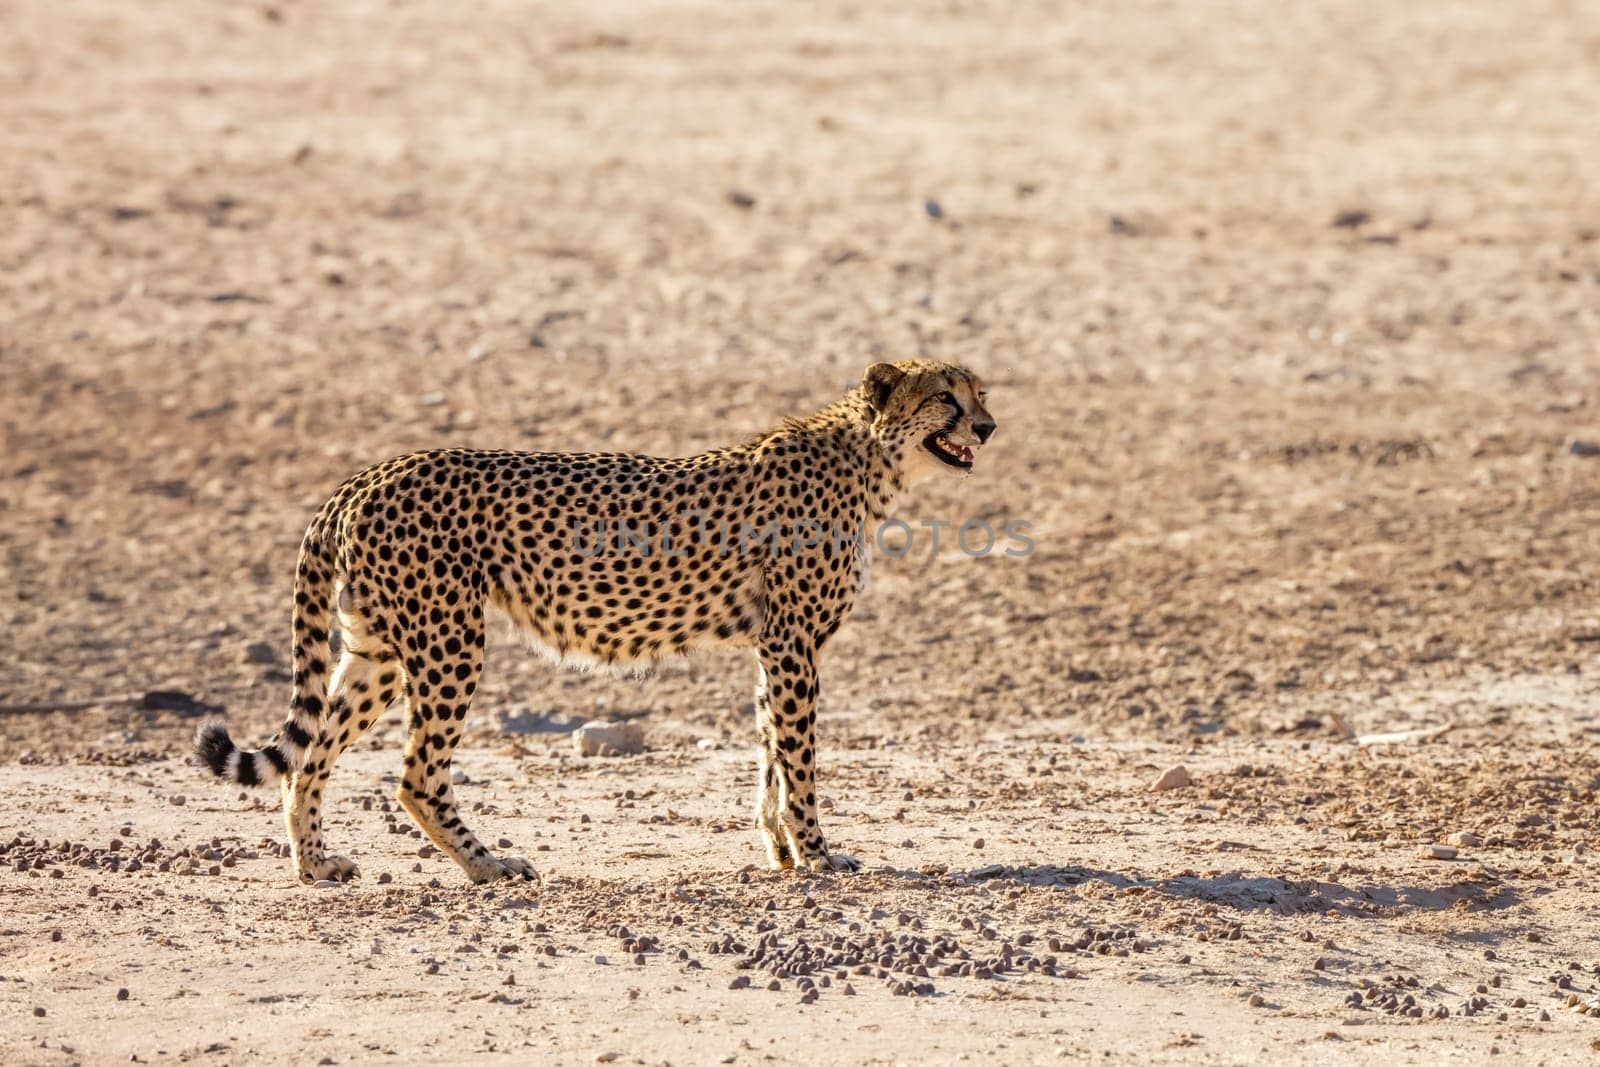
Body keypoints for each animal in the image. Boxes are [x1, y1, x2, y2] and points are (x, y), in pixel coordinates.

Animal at [193, 361, 992, 883]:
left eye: (979, 392)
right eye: (943, 397)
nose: (987, 425)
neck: (869, 462)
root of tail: (372, 472)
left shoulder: (773, 646)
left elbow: (771, 751)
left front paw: (782, 852)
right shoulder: (793, 644)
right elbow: (798, 761)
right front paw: (818, 854)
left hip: (380, 649)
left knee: (311, 753)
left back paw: (314, 864)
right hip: (450, 640)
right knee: (416, 774)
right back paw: (488, 865)